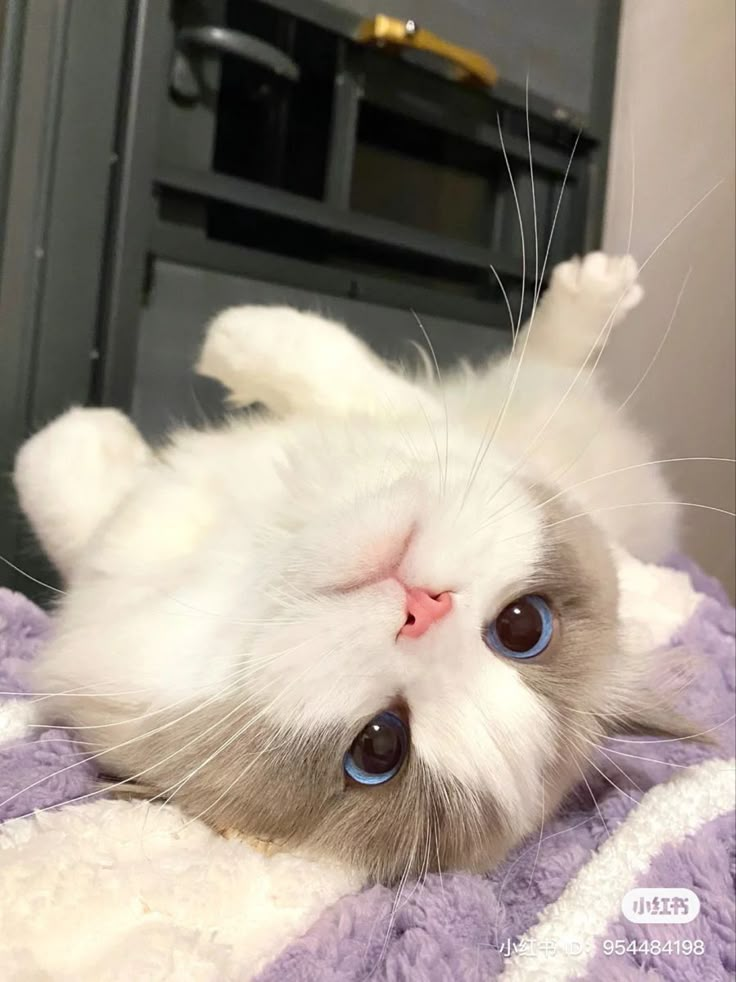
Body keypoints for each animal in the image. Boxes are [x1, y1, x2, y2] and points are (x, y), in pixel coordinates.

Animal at [14, 254, 692, 884]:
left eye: (379, 747)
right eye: (523, 627)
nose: (423, 608)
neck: (263, 542)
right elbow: (50, 461)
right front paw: (226, 343)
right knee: (545, 364)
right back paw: (599, 285)